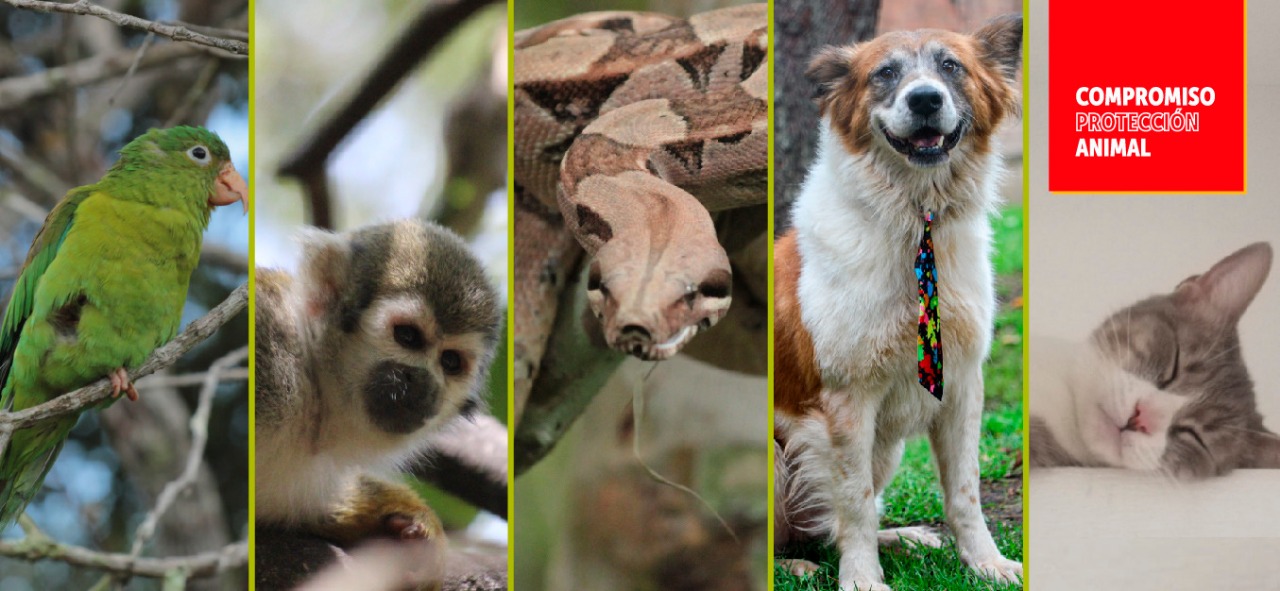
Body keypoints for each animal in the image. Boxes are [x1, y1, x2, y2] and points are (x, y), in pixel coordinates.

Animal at [253, 218, 499, 588]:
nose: (422, 382)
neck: (315, 395)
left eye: (451, 362)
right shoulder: (271, 349)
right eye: (408, 336)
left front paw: (395, 519)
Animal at [773, 13, 1024, 591]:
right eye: (885, 73)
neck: (916, 218)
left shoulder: (962, 385)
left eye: (951, 66)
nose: (925, 99)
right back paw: (794, 565)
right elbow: (855, 503)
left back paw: (904, 538)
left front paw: (986, 563)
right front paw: (862, 579)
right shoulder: (846, 401)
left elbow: (964, 492)